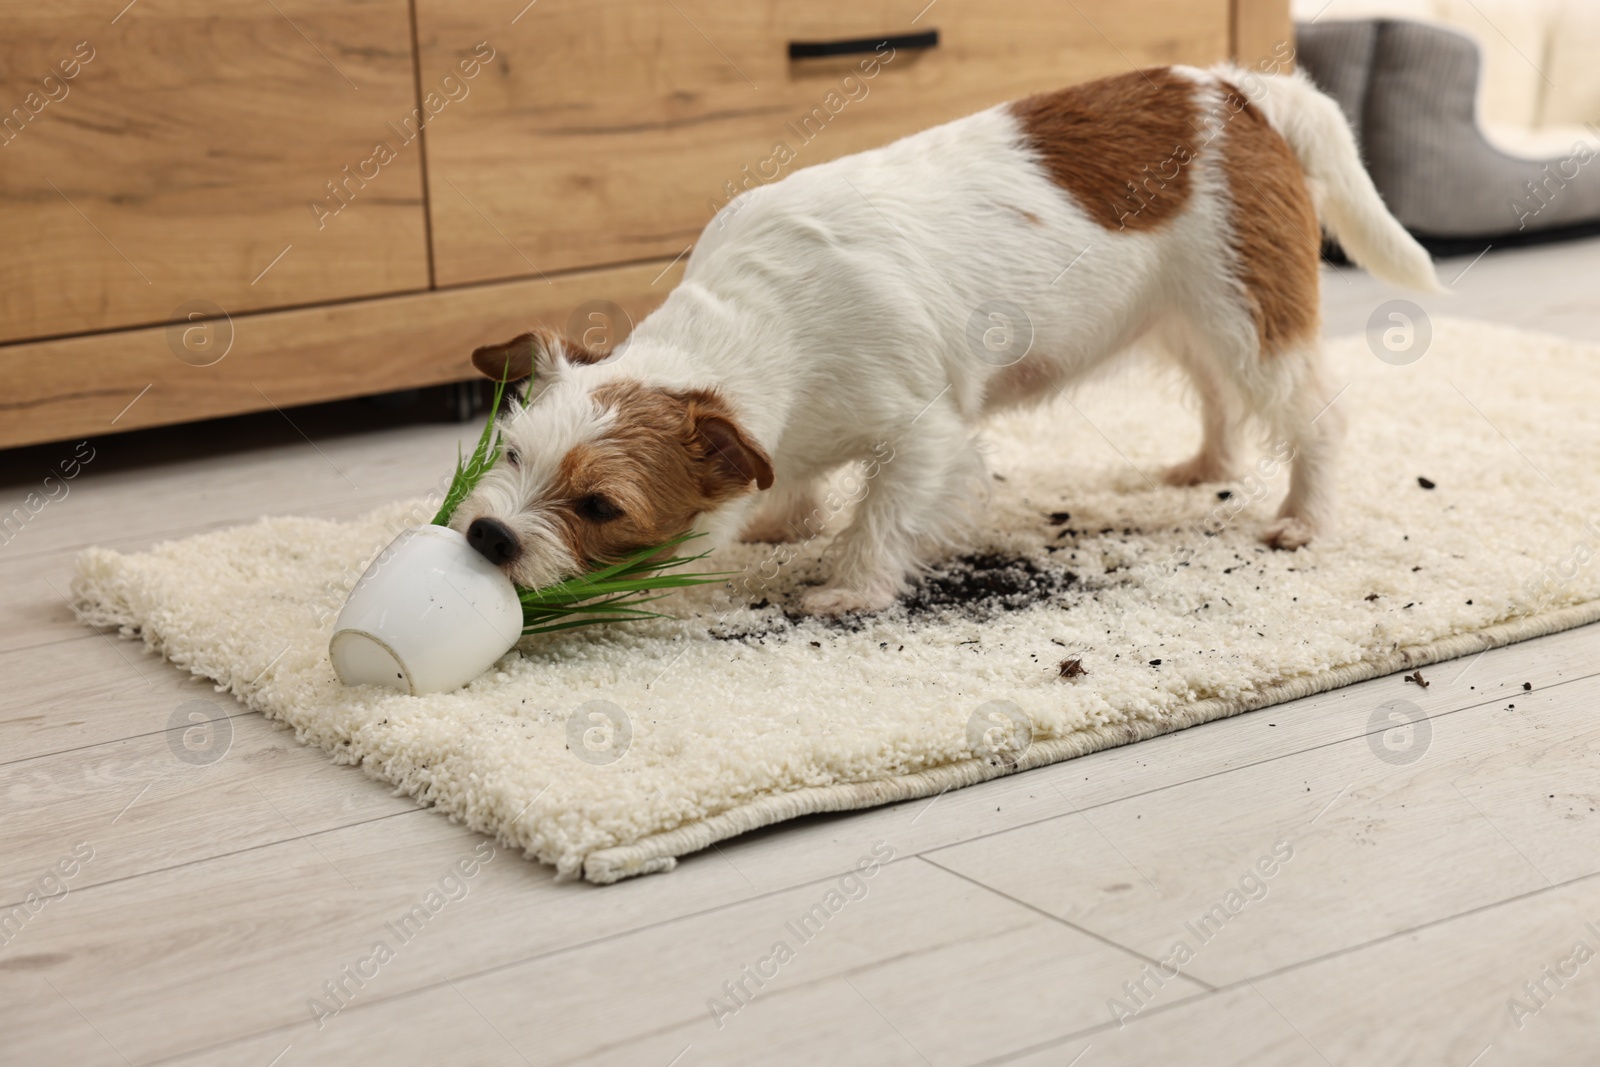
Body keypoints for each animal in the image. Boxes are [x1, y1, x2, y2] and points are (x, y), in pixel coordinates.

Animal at [451, 64, 1440, 617]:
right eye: (510, 452)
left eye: (600, 506)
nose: (488, 536)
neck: (757, 316)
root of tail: (1239, 90)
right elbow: (792, 477)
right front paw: (783, 519)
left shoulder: (925, 435)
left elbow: (881, 515)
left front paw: (849, 585)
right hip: (1185, 319)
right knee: (1217, 395)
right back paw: (1208, 463)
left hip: (1248, 317)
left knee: (1315, 417)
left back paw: (1304, 516)